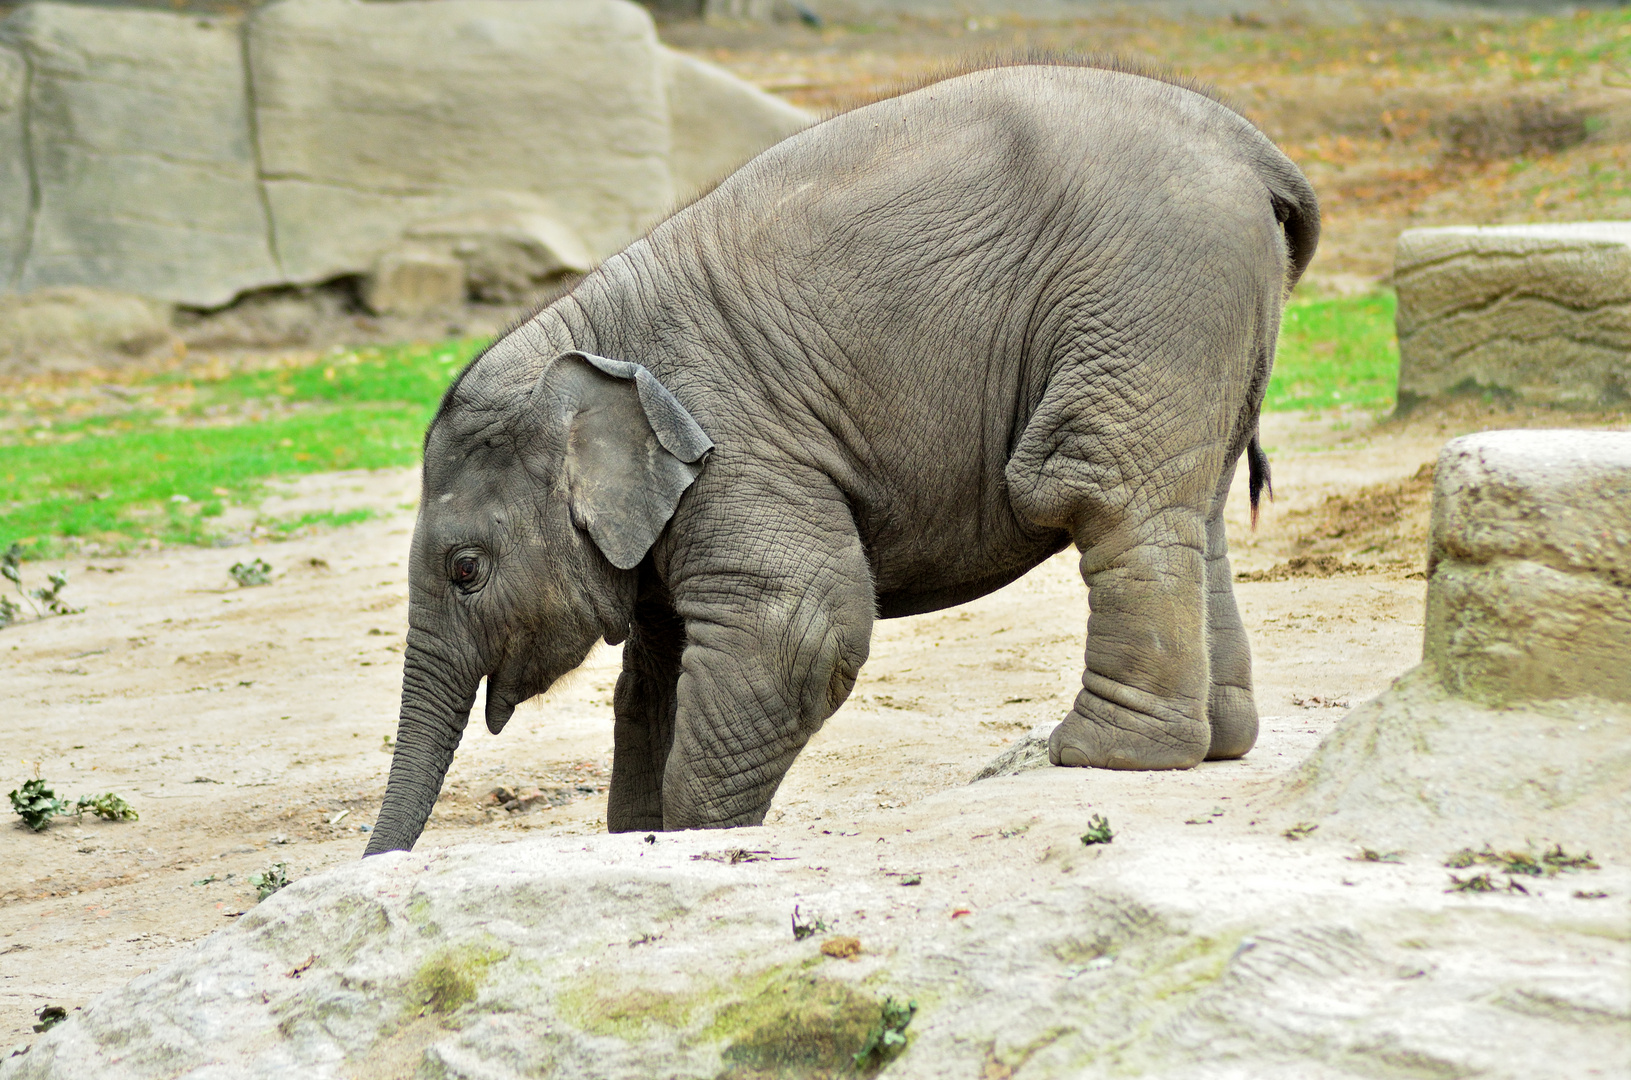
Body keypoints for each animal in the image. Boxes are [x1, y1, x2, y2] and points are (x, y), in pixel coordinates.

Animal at [363, 61, 1317, 854]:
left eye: (465, 569)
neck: (580, 336)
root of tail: (1255, 150)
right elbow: (653, 670)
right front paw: (641, 838)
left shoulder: (740, 447)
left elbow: (796, 625)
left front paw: (692, 839)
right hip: (1202, 315)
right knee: (1197, 505)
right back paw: (1219, 743)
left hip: (1147, 292)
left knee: (1100, 492)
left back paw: (1100, 754)